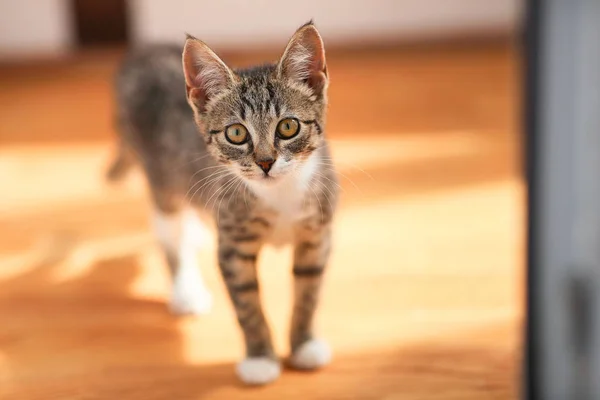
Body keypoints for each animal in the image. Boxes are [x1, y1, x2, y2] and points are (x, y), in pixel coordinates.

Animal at [108, 21, 338, 384]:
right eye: (236, 134)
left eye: (288, 126)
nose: (265, 162)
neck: (281, 194)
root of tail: (142, 51)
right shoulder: (233, 245)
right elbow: (247, 304)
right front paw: (260, 358)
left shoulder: (317, 236)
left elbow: (308, 293)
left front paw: (304, 344)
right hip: (160, 178)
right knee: (168, 231)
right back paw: (185, 288)